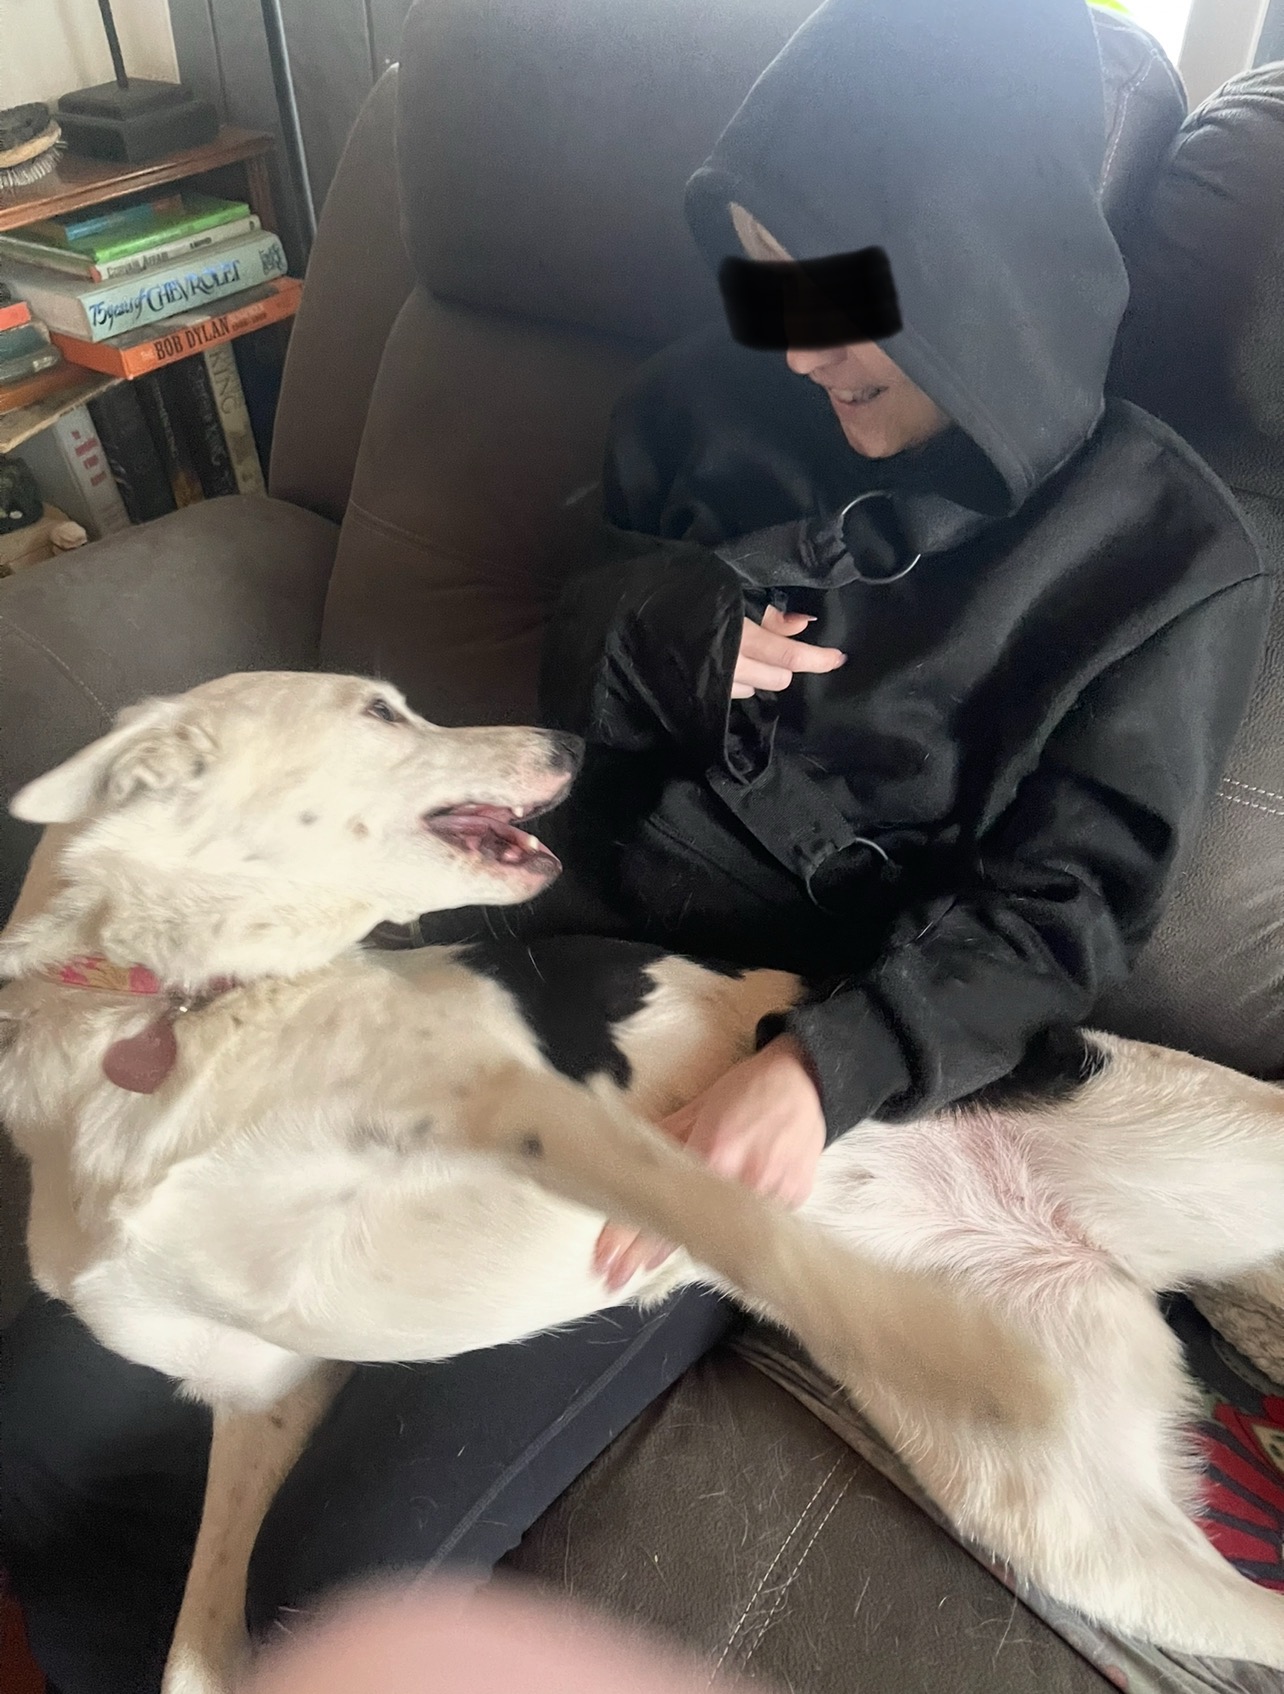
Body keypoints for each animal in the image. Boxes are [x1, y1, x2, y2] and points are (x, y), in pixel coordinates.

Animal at [0, 670, 1281, 1694]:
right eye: (380, 710)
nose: (572, 742)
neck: (166, 1009)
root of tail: (1068, 1239)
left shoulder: (517, 1104)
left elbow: (739, 1220)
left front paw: (956, 1347)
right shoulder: (263, 1391)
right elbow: (194, 1642)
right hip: (1084, 1538)